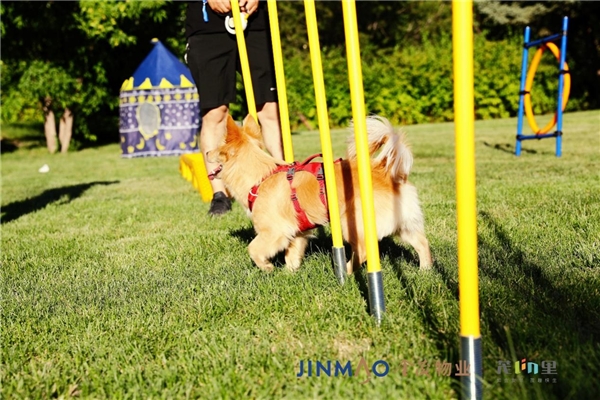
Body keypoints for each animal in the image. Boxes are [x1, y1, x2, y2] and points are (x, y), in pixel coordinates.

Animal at [206, 114, 432, 274]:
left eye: (217, 149)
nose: (206, 152)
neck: (262, 176)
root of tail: (384, 169)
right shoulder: (297, 233)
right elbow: (292, 255)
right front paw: (289, 274)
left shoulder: (274, 231)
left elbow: (253, 249)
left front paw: (267, 267)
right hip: (403, 224)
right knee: (422, 243)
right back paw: (425, 270)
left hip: (350, 224)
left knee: (364, 251)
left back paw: (346, 271)